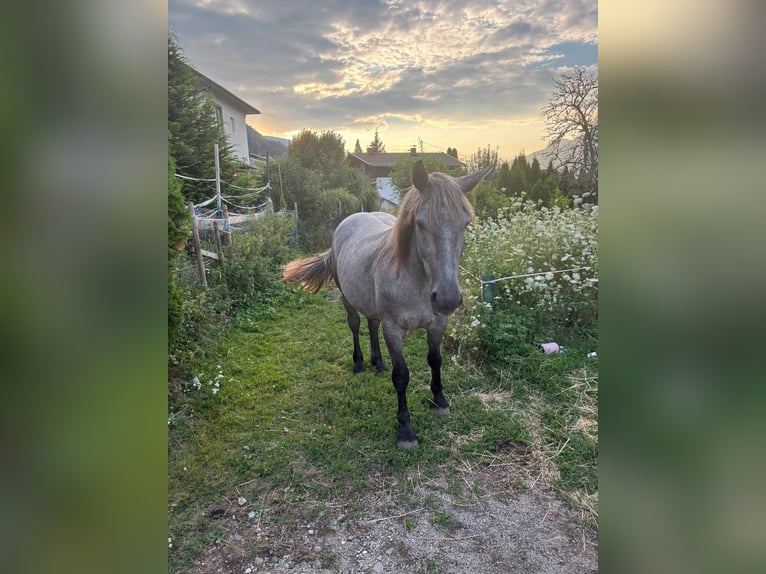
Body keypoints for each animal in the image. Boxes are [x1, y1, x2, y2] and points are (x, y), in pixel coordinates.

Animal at [282, 160, 494, 448]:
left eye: (466, 223)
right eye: (420, 223)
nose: (448, 298)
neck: (416, 281)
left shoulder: (438, 323)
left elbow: (435, 360)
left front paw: (439, 401)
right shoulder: (393, 329)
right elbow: (401, 375)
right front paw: (405, 429)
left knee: (372, 325)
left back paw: (378, 363)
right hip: (347, 298)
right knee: (355, 324)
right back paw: (360, 363)